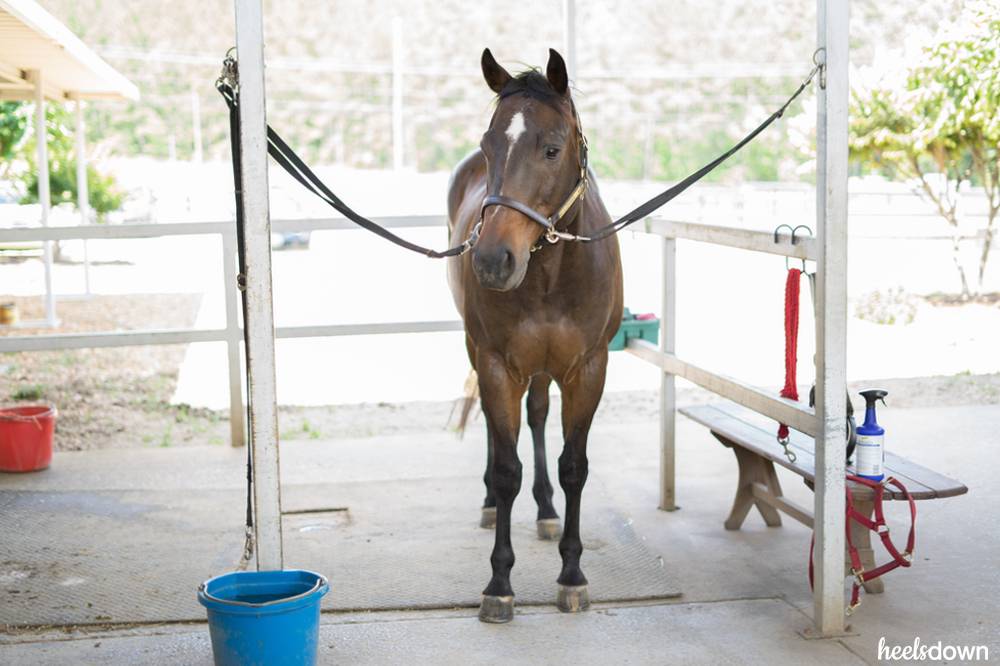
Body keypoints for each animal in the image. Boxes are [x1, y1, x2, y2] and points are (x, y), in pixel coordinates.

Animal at [448, 48, 620, 624]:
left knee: (540, 415)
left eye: (551, 148)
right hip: (483, 355)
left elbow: (573, 467)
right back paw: (487, 503)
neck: (549, 275)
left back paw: (546, 510)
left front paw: (572, 575)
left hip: (545, 370)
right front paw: (499, 583)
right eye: (488, 146)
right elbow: (507, 469)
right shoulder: (498, 364)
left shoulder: (587, 369)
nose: (491, 261)